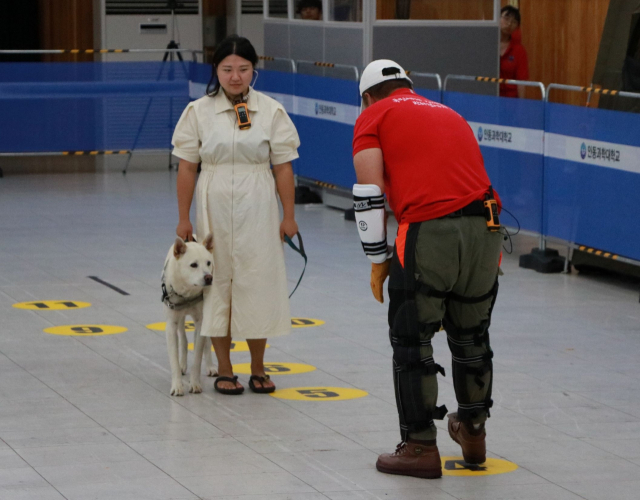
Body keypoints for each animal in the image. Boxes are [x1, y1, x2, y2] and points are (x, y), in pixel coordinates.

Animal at [161, 233, 216, 394]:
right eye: (193, 265)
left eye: (208, 263)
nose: (209, 278)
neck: (188, 293)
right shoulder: (171, 325)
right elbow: (173, 358)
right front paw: (177, 386)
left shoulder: (200, 321)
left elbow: (198, 356)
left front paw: (195, 383)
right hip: (179, 319)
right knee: (183, 339)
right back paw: (183, 364)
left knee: (207, 343)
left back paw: (210, 366)